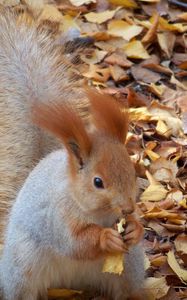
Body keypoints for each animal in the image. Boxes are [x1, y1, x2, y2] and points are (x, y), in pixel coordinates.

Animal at [0, 8, 146, 300]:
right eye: (97, 182)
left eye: (132, 170)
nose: (127, 208)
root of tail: (71, 282)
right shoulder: (56, 217)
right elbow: (75, 243)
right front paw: (105, 238)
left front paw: (135, 228)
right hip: (22, 268)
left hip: (130, 268)